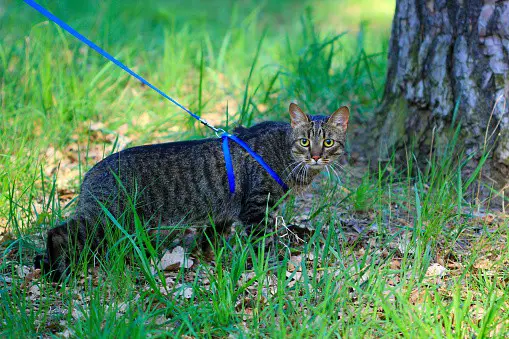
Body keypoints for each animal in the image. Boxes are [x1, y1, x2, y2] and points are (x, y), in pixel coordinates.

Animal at [33, 103, 348, 282]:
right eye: (305, 141)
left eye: (328, 142)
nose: (317, 156)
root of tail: (90, 173)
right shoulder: (257, 209)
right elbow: (263, 244)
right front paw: (273, 266)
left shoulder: (224, 213)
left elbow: (209, 239)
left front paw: (208, 258)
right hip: (107, 220)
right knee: (57, 232)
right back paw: (57, 273)